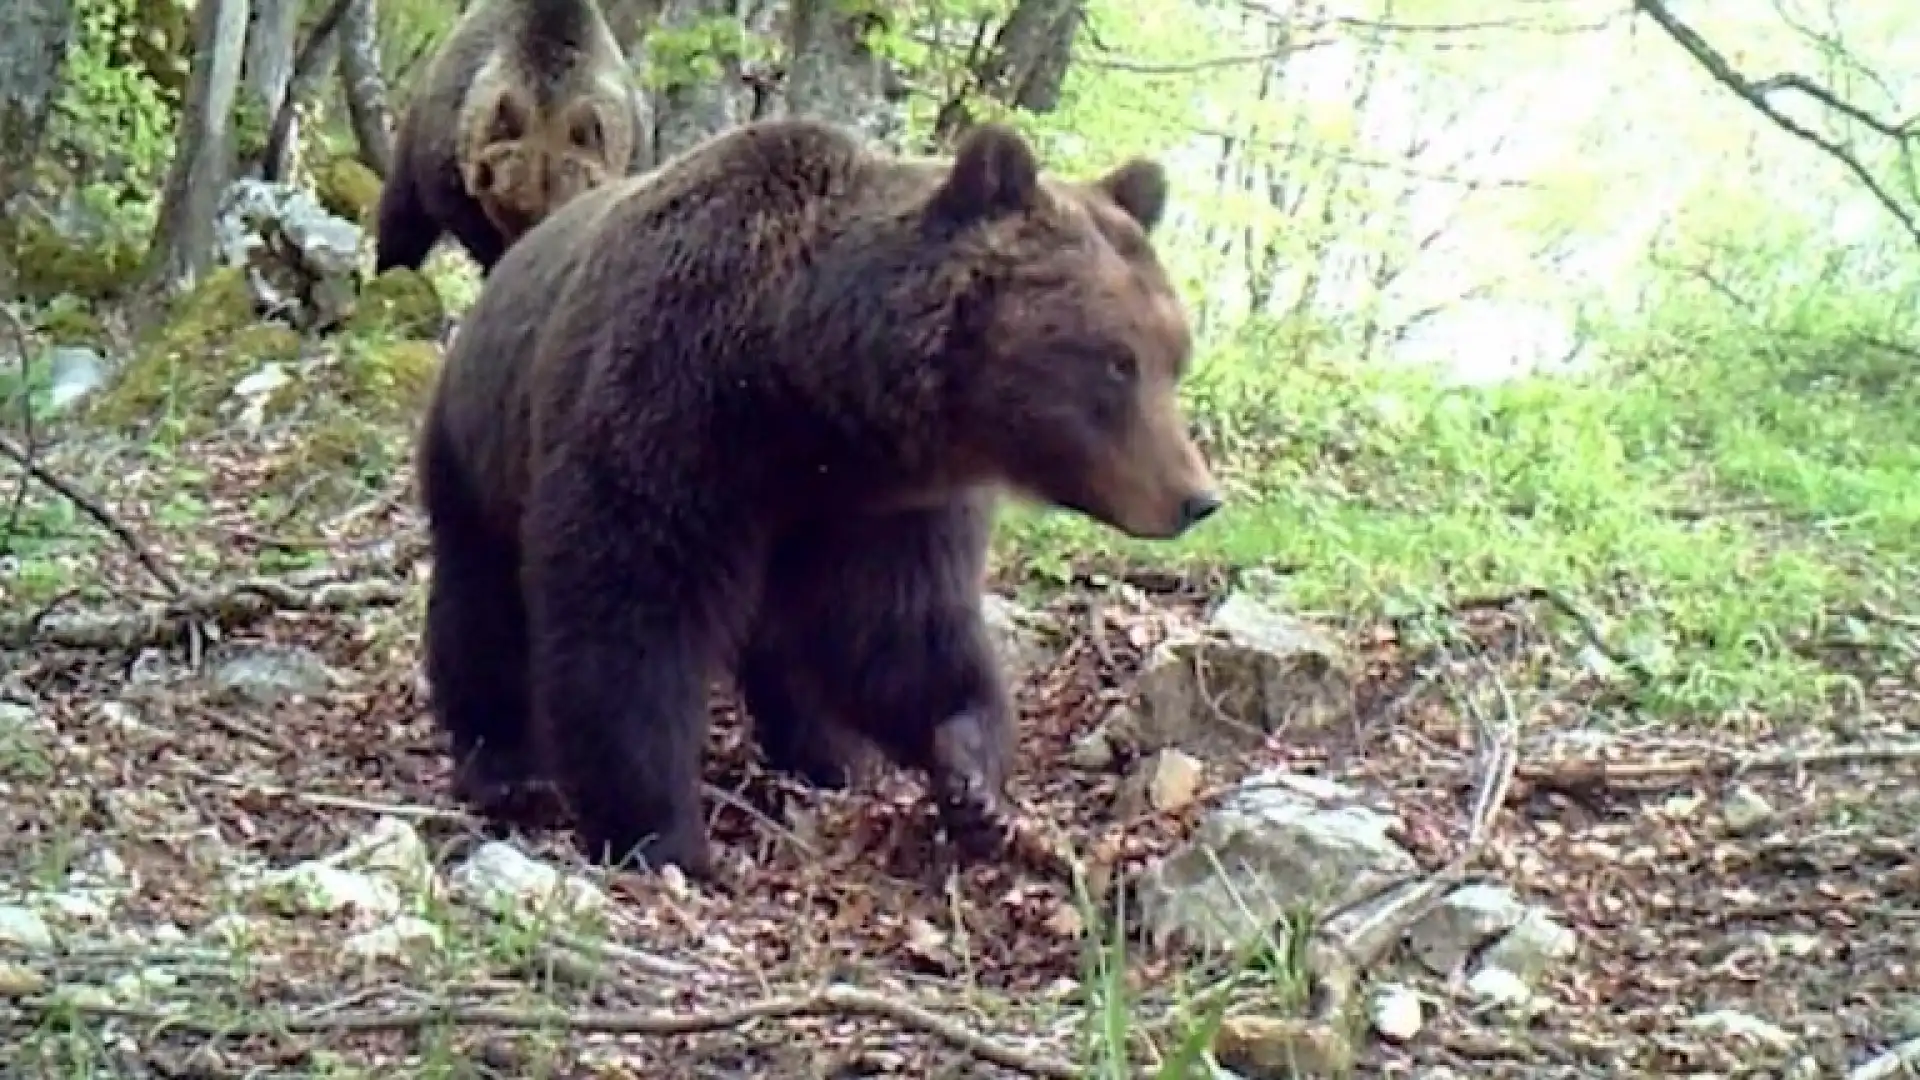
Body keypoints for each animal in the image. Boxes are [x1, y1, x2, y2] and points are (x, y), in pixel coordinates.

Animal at [418, 115, 1221, 876]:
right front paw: (661, 832)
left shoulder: (881, 507)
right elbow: (630, 610)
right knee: (480, 600)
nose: (1197, 499)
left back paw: (828, 755)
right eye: (1117, 361)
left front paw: (972, 781)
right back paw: (506, 767)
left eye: (1175, 357)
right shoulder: (671, 415)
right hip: (478, 442)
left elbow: (901, 631)